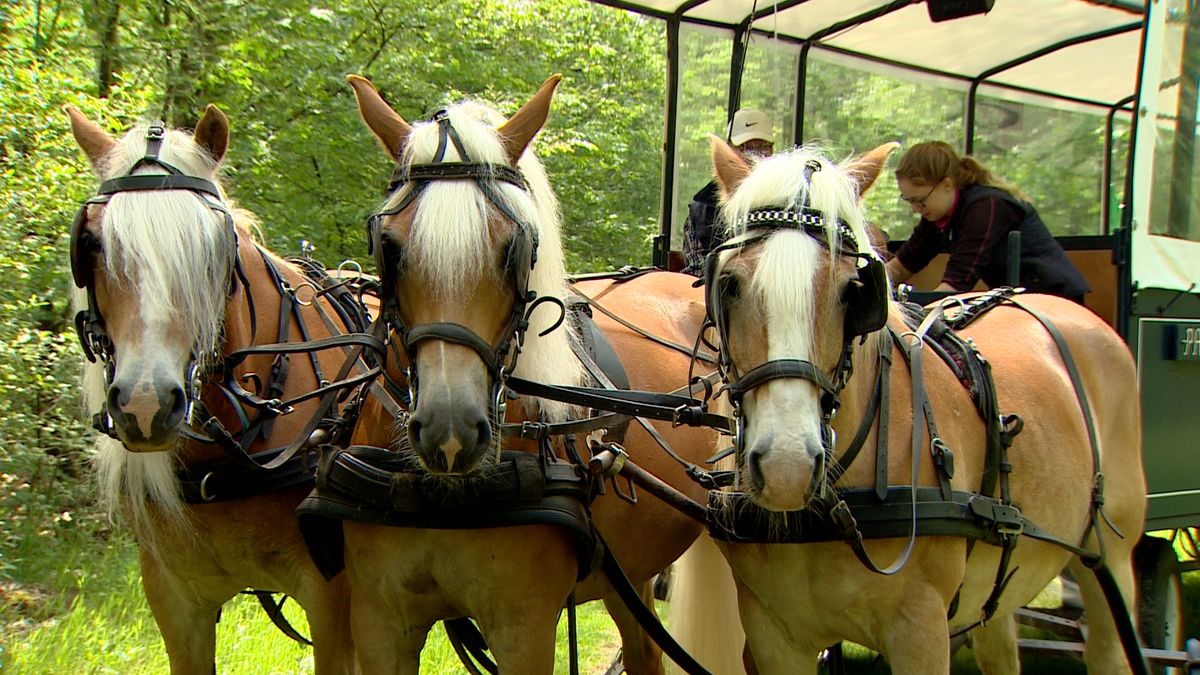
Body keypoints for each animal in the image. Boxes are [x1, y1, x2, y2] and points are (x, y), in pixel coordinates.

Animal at [667, 140, 1147, 675]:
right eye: (728, 284)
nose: (787, 466)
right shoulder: (776, 636)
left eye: (853, 291)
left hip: (1111, 561)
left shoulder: (921, 632)